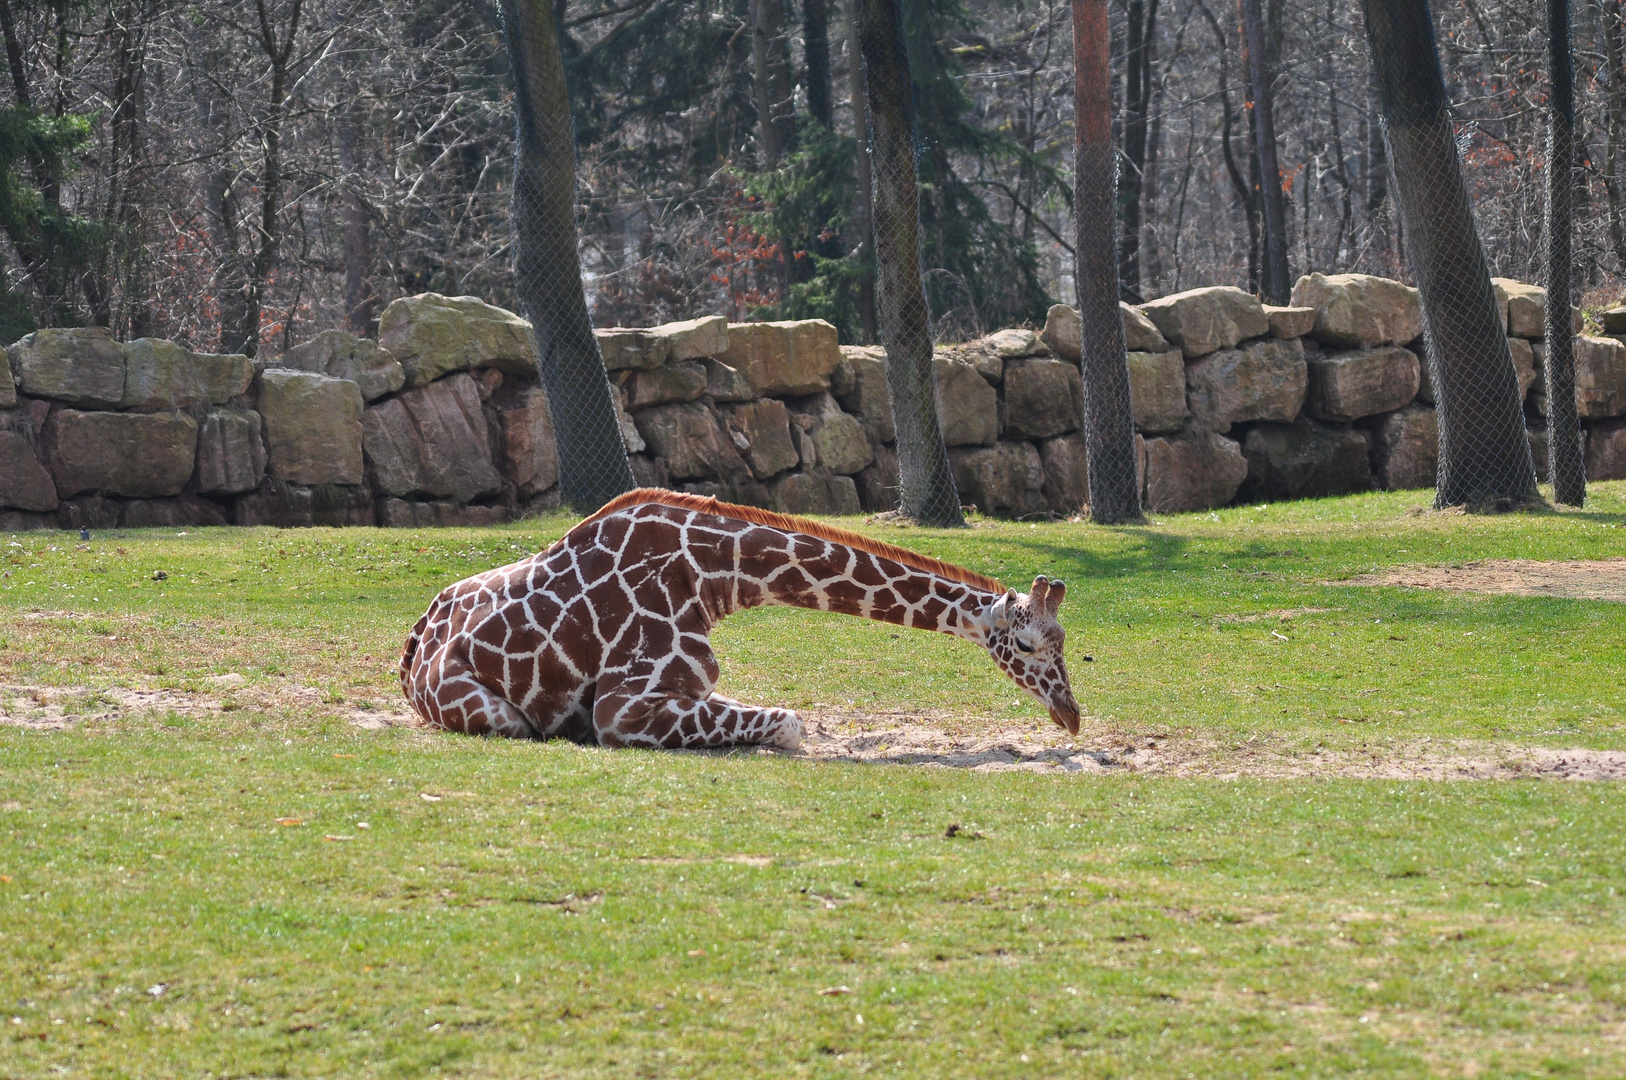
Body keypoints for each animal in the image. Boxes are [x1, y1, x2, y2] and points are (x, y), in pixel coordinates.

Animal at [398, 487, 1079, 751]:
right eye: (1028, 645)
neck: (707, 577)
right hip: (490, 713)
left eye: (1065, 640)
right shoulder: (622, 708)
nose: (1071, 714)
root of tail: (410, 650)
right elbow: (790, 722)